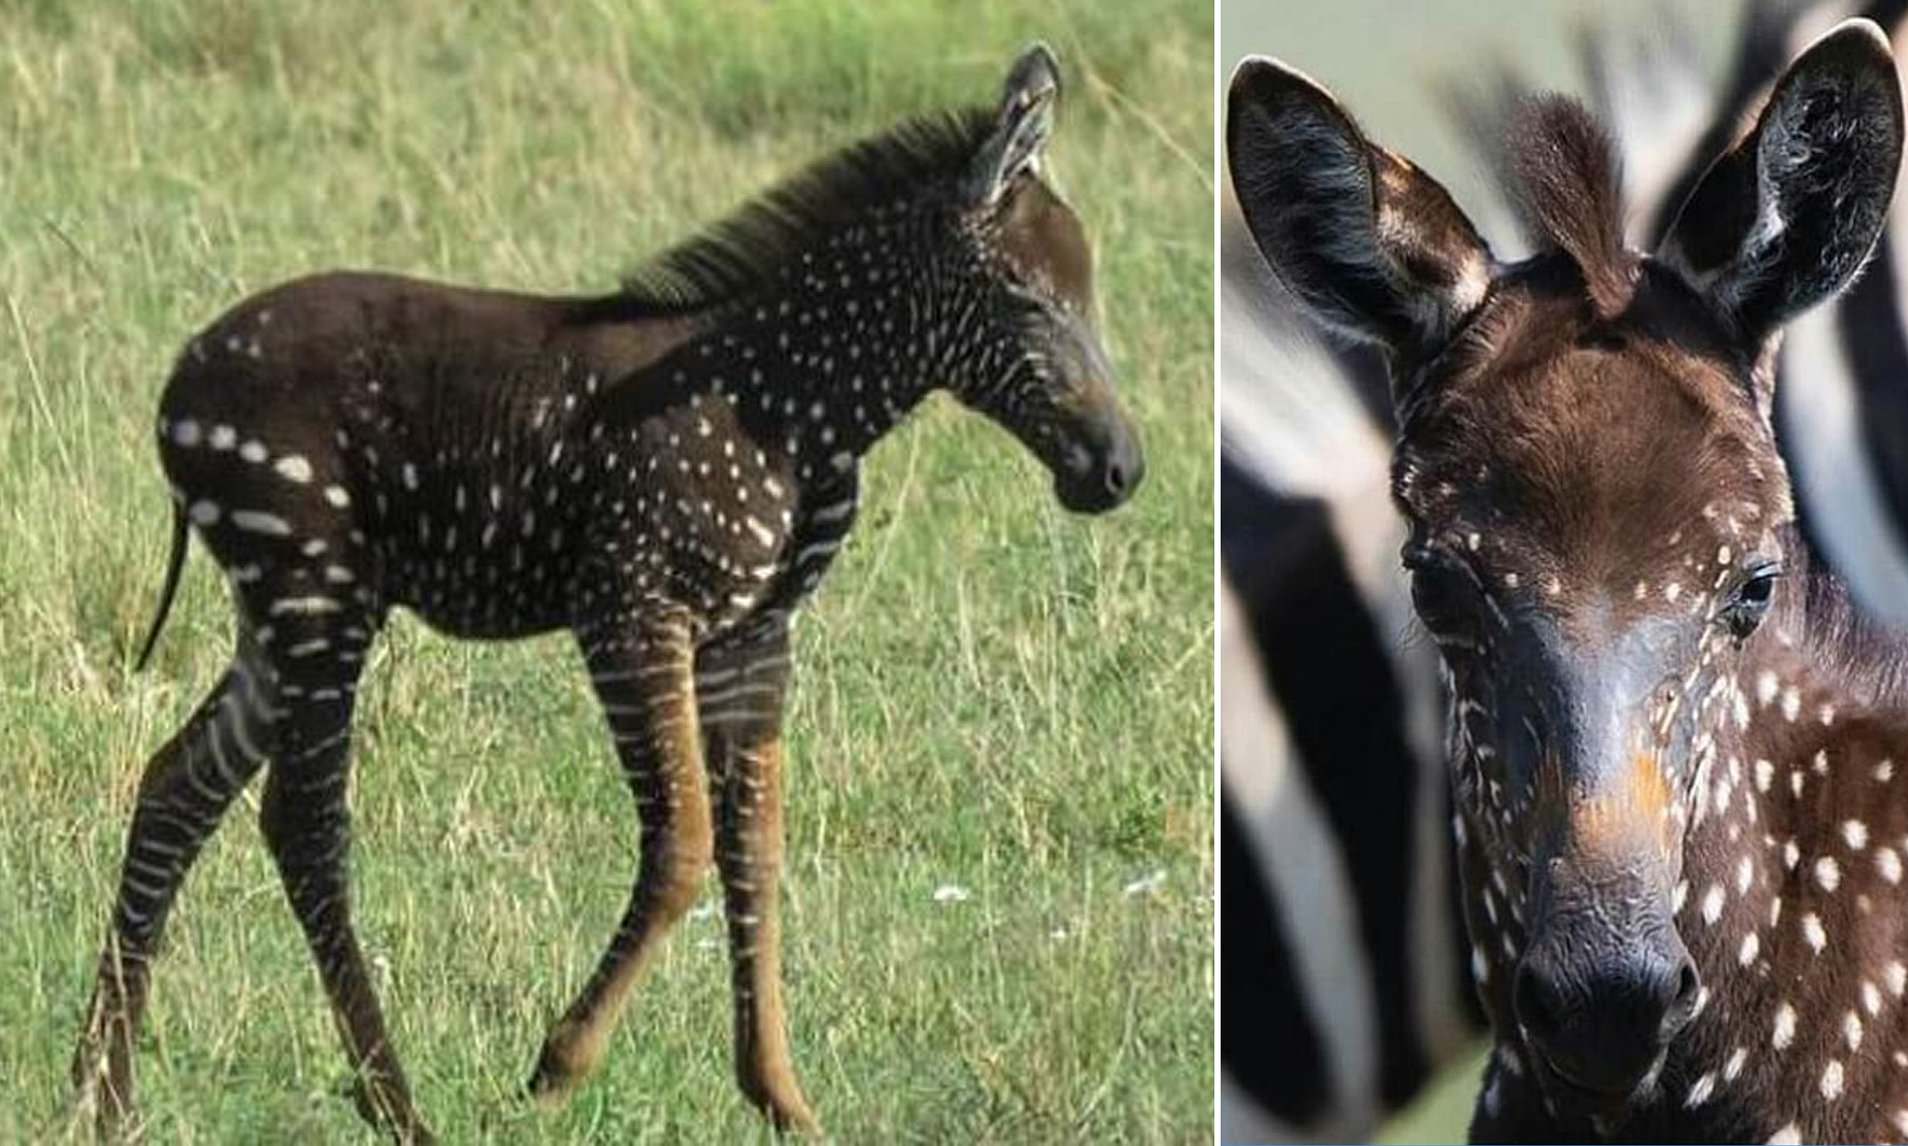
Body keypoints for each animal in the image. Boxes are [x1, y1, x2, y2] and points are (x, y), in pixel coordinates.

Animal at [74, 42, 1137, 1136]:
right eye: (1023, 296)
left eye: (1086, 293)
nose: (1118, 470)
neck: (796, 406)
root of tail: (178, 382)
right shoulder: (629, 611)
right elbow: (682, 847)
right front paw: (560, 1063)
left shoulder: (755, 636)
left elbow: (755, 849)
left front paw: (780, 1096)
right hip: (314, 588)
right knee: (303, 825)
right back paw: (394, 1105)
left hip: (281, 614)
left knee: (175, 786)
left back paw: (103, 1092)